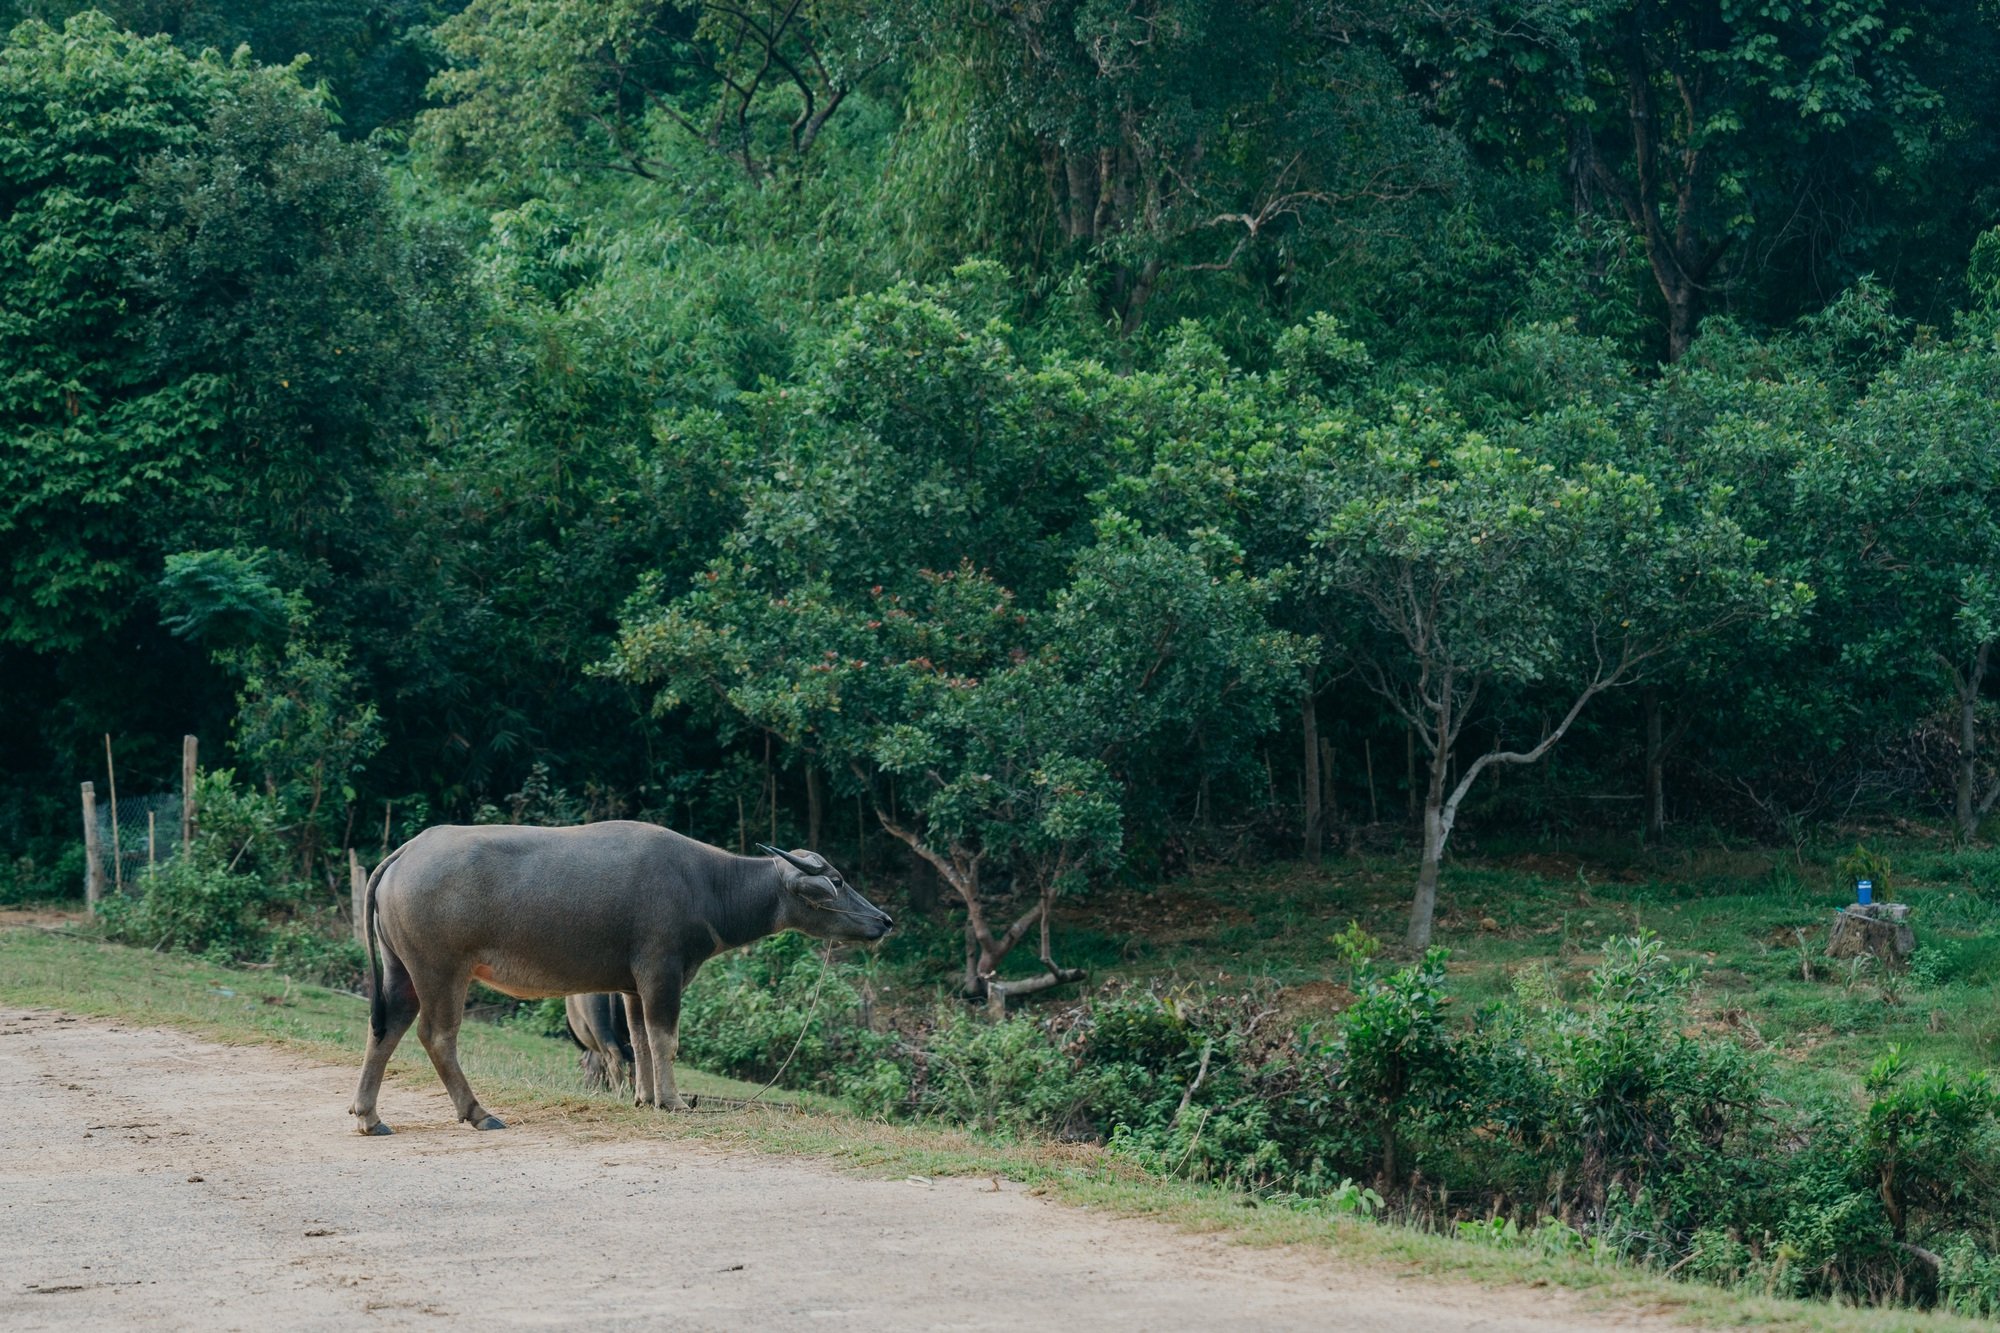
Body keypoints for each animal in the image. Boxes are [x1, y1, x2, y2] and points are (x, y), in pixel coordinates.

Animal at [348, 820, 896, 1128]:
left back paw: (369, 1115)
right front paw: (674, 1102)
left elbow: (640, 1040)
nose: (884, 920)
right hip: (441, 969)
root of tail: (404, 853)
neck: (707, 885)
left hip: (401, 969)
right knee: (436, 1036)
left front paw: (646, 1098)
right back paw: (478, 1113)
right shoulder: (662, 970)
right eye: (838, 880)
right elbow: (665, 1039)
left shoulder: (633, 985)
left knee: (385, 1029)